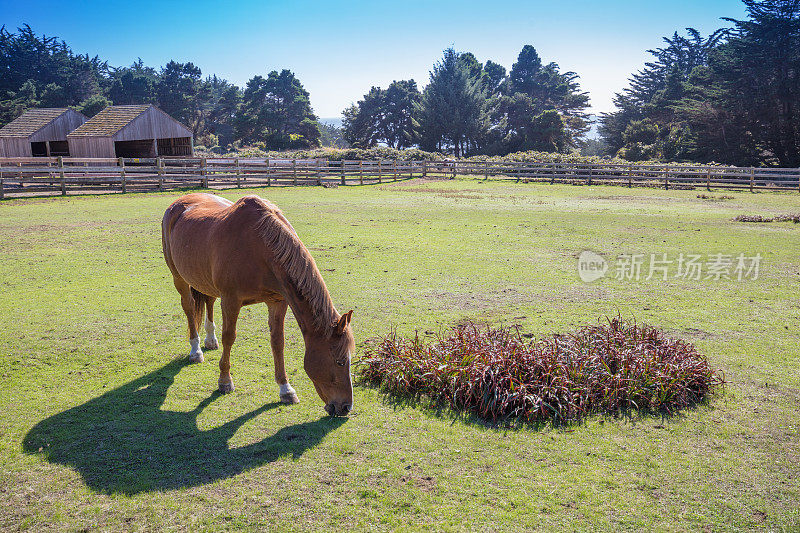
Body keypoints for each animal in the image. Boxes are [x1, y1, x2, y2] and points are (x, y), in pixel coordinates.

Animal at [161, 191, 354, 416]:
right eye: (340, 361)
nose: (346, 407)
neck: (259, 248)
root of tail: (179, 202)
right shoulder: (231, 301)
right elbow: (229, 338)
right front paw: (225, 381)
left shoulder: (278, 301)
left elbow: (277, 342)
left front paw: (286, 389)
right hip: (179, 278)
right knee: (189, 308)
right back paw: (196, 350)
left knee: (209, 300)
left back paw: (210, 340)